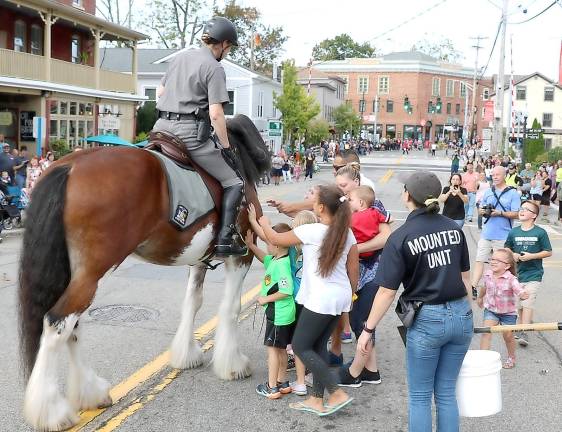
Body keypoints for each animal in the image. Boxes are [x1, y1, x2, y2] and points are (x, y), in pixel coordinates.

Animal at [18, 115, 270, 432]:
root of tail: (71, 166)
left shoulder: (199, 260)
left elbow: (193, 303)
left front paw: (187, 354)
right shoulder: (242, 256)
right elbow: (230, 308)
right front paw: (232, 364)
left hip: (77, 273)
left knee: (71, 326)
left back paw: (90, 392)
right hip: (91, 274)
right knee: (57, 323)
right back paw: (51, 410)